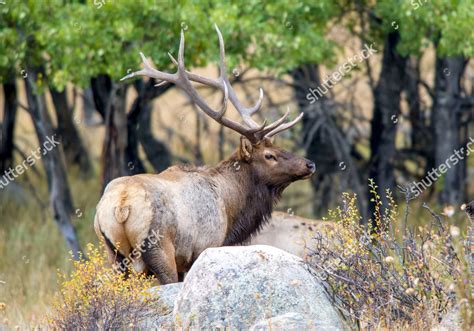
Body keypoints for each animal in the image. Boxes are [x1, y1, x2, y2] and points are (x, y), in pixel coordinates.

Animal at [93, 25, 314, 286]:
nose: (309, 164)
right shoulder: (204, 246)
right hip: (159, 247)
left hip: (113, 254)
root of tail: (121, 204)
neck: (230, 207)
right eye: (270, 155)